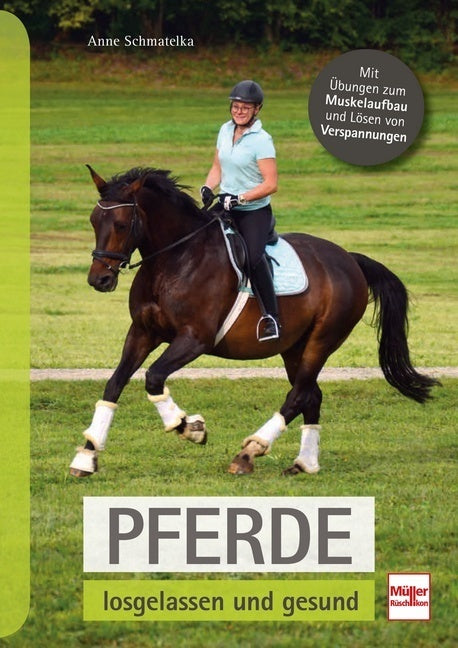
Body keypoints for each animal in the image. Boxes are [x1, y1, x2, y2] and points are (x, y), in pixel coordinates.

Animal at [69, 165, 439, 478]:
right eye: (93, 221)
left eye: (120, 224)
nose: (99, 279)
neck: (175, 260)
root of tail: (349, 259)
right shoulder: (143, 332)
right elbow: (114, 384)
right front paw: (87, 456)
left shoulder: (194, 339)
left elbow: (154, 378)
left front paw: (190, 427)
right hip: (294, 347)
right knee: (311, 395)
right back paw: (304, 463)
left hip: (321, 341)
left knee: (298, 395)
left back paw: (249, 452)